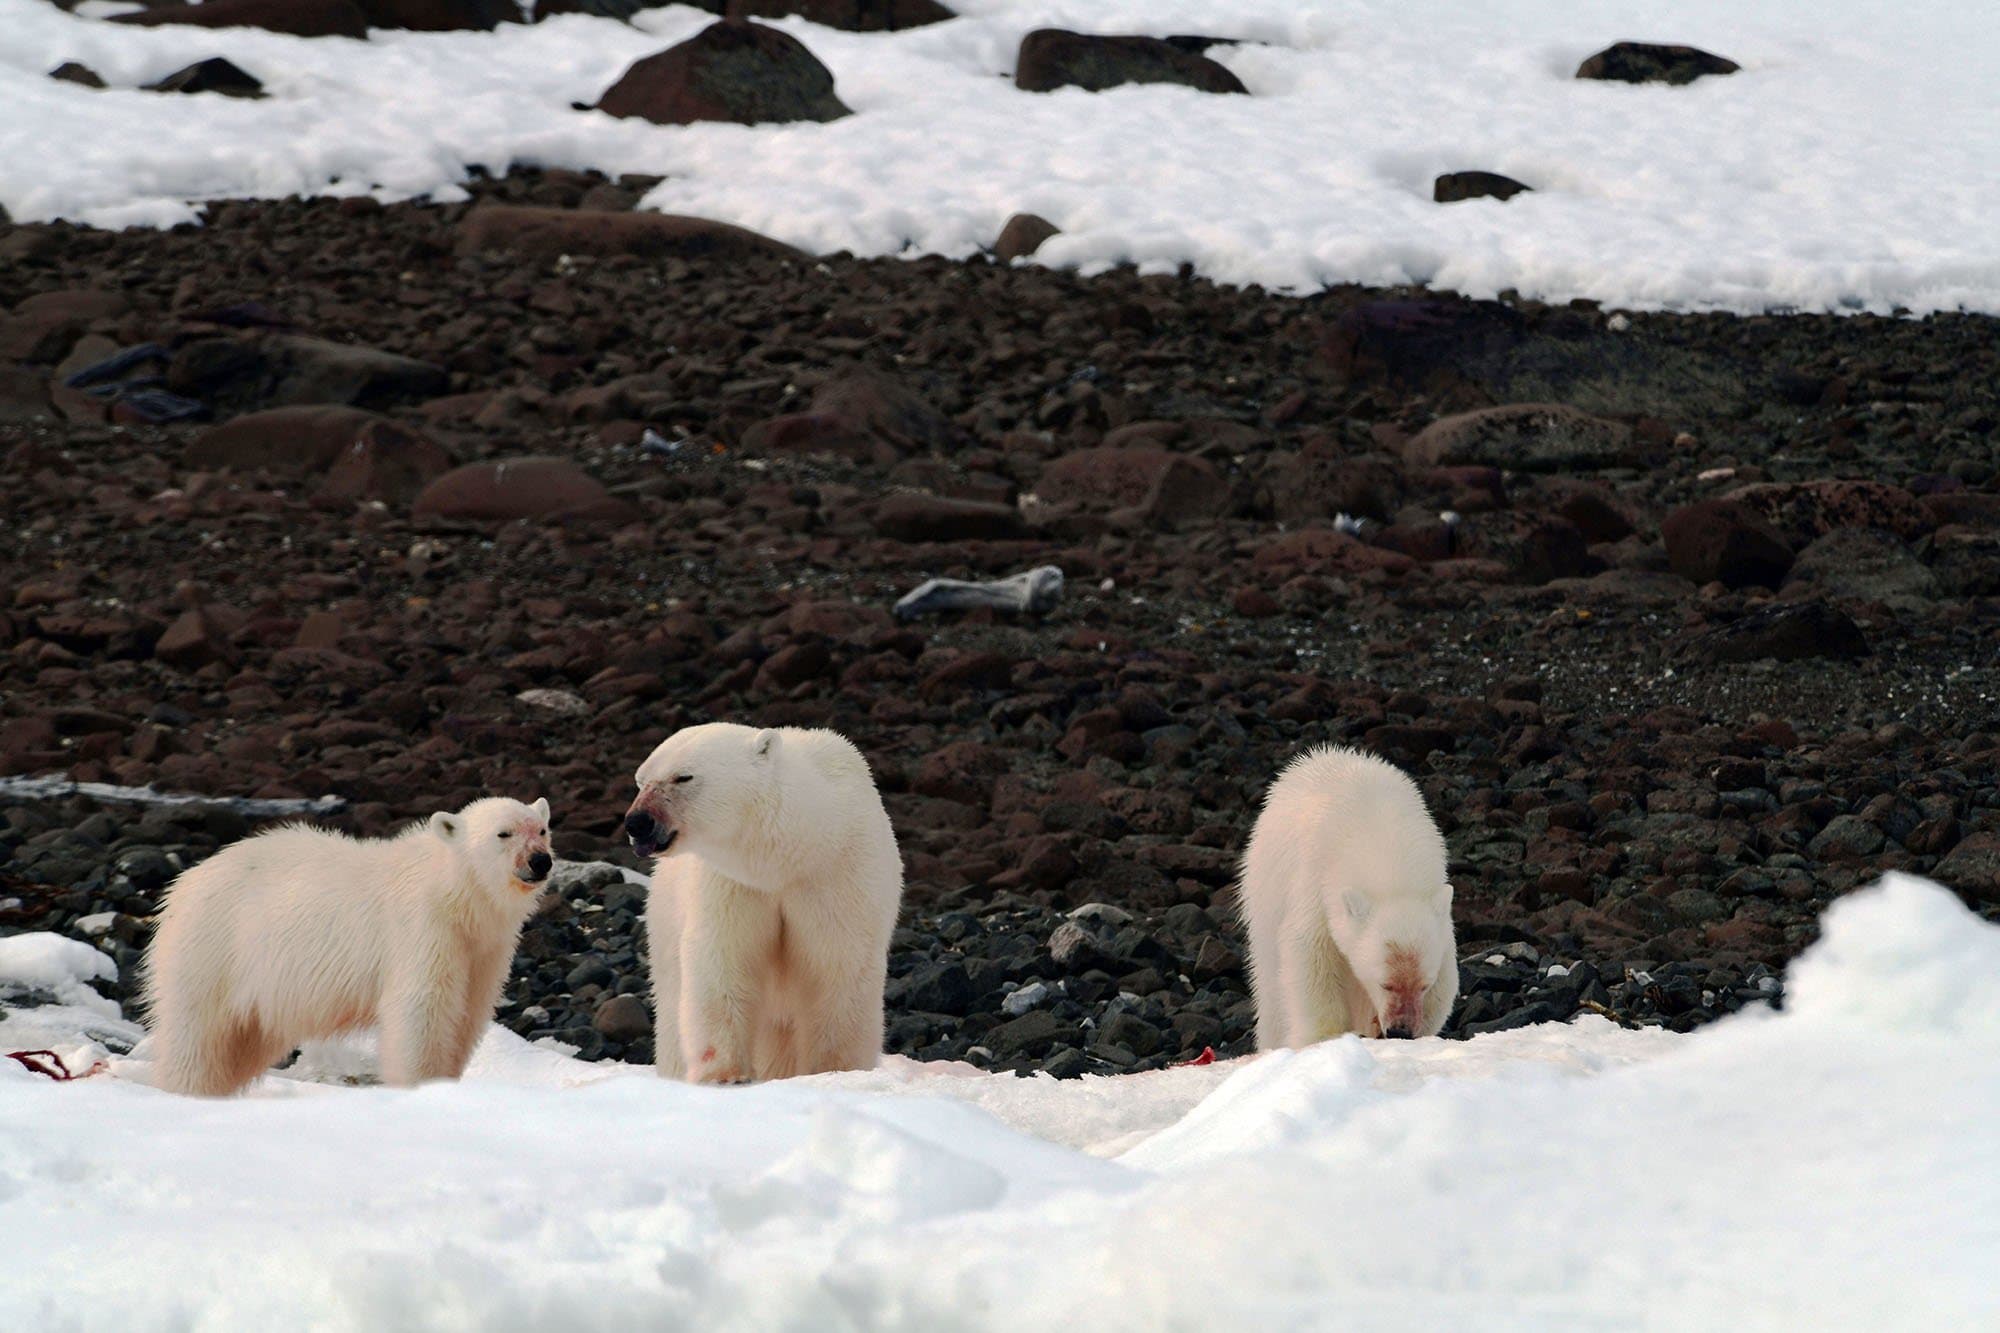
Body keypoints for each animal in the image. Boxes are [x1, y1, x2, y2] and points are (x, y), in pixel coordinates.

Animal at [141, 796, 554, 1096]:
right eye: (503, 834)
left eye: (542, 829)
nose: (540, 861)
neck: (454, 891)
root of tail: (184, 884)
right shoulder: (422, 930)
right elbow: (422, 1009)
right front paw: (421, 1087)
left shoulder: (484, 948)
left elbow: (468, 1013)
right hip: (214, 949)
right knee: (197, 1036)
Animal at [623, 723, 903, 1084]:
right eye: (641, 780)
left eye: (683, 777)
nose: (637, 822)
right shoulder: (732, 885)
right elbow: (722, 959)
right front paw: (725, 1075)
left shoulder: (840, 874)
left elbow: (840, 964)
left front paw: (836, 1070)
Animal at [1238, 745, 1458, 1046]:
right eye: (1385, 984)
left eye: (1425, 984)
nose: (1401, 1031)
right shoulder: (1316, 881)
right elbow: (1308, 950)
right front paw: (1325, 1036)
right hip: (1264, 896)